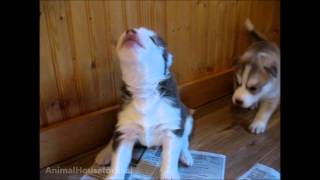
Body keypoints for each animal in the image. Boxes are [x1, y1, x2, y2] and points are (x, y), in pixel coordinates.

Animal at [94, 27, 194, 179]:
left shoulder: (171, 127)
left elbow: (169, 157)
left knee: (184, 141)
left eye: (153, 39)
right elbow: (118, 160)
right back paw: (104, 154)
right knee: (112, 139)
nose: (130, 30)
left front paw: (169, 175)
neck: (143, 89)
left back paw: (185, 156)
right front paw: (113, 176)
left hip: (187, 119)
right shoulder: (125, 131)